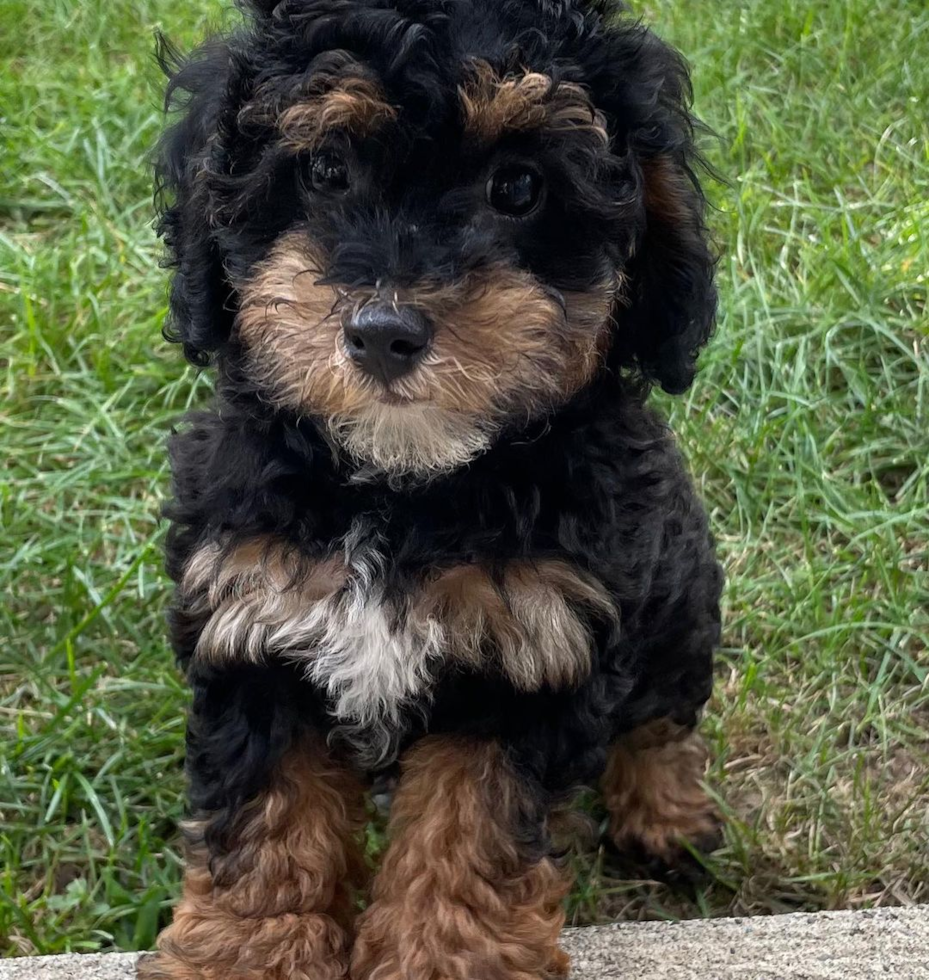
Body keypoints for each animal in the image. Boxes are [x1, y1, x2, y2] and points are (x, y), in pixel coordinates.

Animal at [143, 1, 724, 980]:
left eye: (518, 188)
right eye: (325, 169)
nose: (382, 332)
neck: (402, 488)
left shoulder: (532, 650)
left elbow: (467, 826)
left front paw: (447, 953)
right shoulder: (253, 620)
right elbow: (267, 815)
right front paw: (248, 948)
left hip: (681, 597)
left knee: (660, 716)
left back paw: (668, 814)